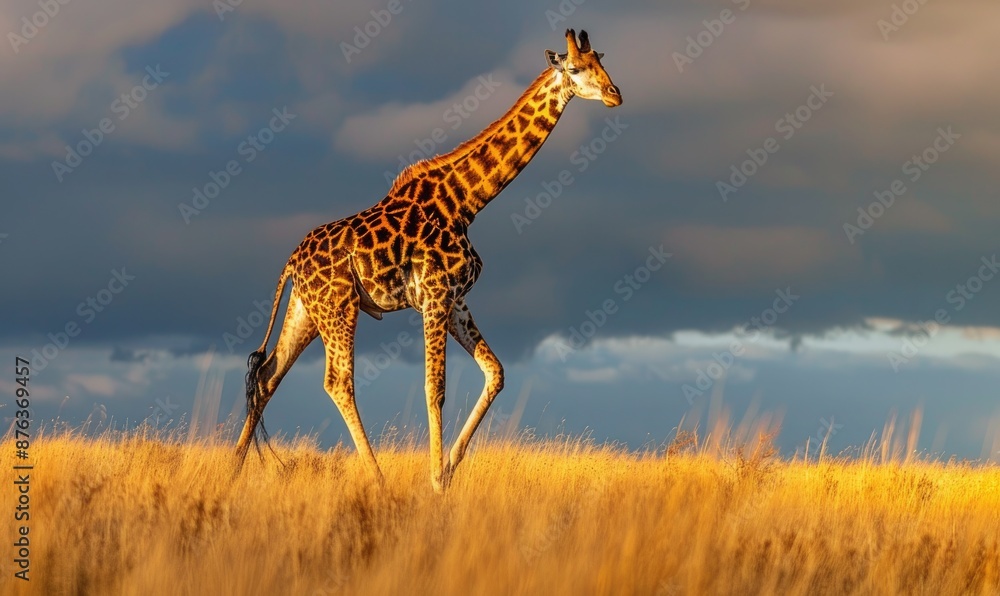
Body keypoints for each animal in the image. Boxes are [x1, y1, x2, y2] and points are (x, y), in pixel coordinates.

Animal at [234, 29, 621, 492]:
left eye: (603, 63)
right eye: (577, 68)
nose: (615, 94)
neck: (467, 203)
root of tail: (291, 261)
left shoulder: (456, 299)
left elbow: (495, 372)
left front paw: (451, 467)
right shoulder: (436, 294)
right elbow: (434, 386)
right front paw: (436, 479)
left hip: (307, 310)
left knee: (268, 375)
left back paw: (231, 471)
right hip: (339, 306)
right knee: (338, 382)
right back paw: (378, 478)